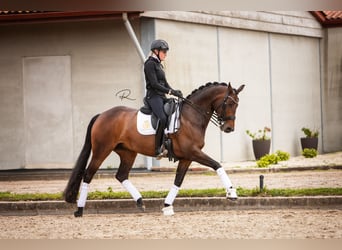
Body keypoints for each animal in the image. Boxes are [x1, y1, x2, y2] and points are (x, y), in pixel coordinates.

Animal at [64, 81, 244, 216]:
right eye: (229, 103)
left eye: (237, 105)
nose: (229, 128)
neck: (190, 117)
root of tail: (101, 115)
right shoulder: (193, 152)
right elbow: (217, 165)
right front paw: (231, 193)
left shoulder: (187, 157)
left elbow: (178, 181)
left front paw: (167, 206)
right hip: (102, 150)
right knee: (88, 174)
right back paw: (79, 210)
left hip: (128, 153)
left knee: (121, 175)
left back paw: (140, 202)